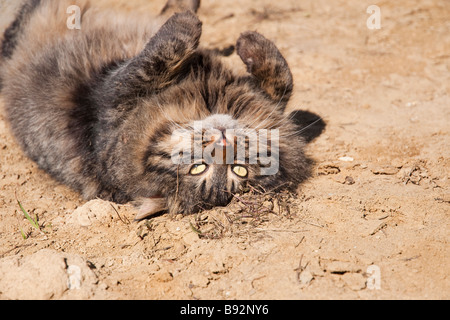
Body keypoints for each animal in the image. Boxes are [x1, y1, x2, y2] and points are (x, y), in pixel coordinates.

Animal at [0, 0, 312, 220]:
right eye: (198, 168)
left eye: (239, 170)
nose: (224, 142)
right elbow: (282, 77)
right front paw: (246, 42)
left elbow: (161, 52)